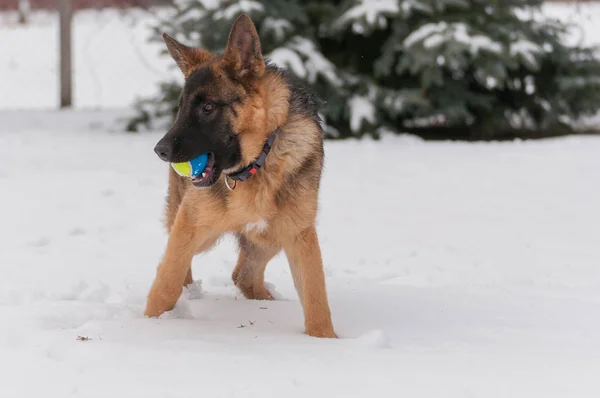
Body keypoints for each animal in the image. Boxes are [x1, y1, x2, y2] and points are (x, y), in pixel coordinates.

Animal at [143, 14, 336, 338]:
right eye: (181, 108)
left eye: (208, 107)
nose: (160, 151)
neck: (256, 166)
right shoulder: (190, 224)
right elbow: (166, 281)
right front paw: (146, 325)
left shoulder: (299, 234)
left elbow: (316, 297)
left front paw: (326, 342)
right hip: (201, 231)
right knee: (192, 268)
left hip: (270, 236)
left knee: (244, 276)